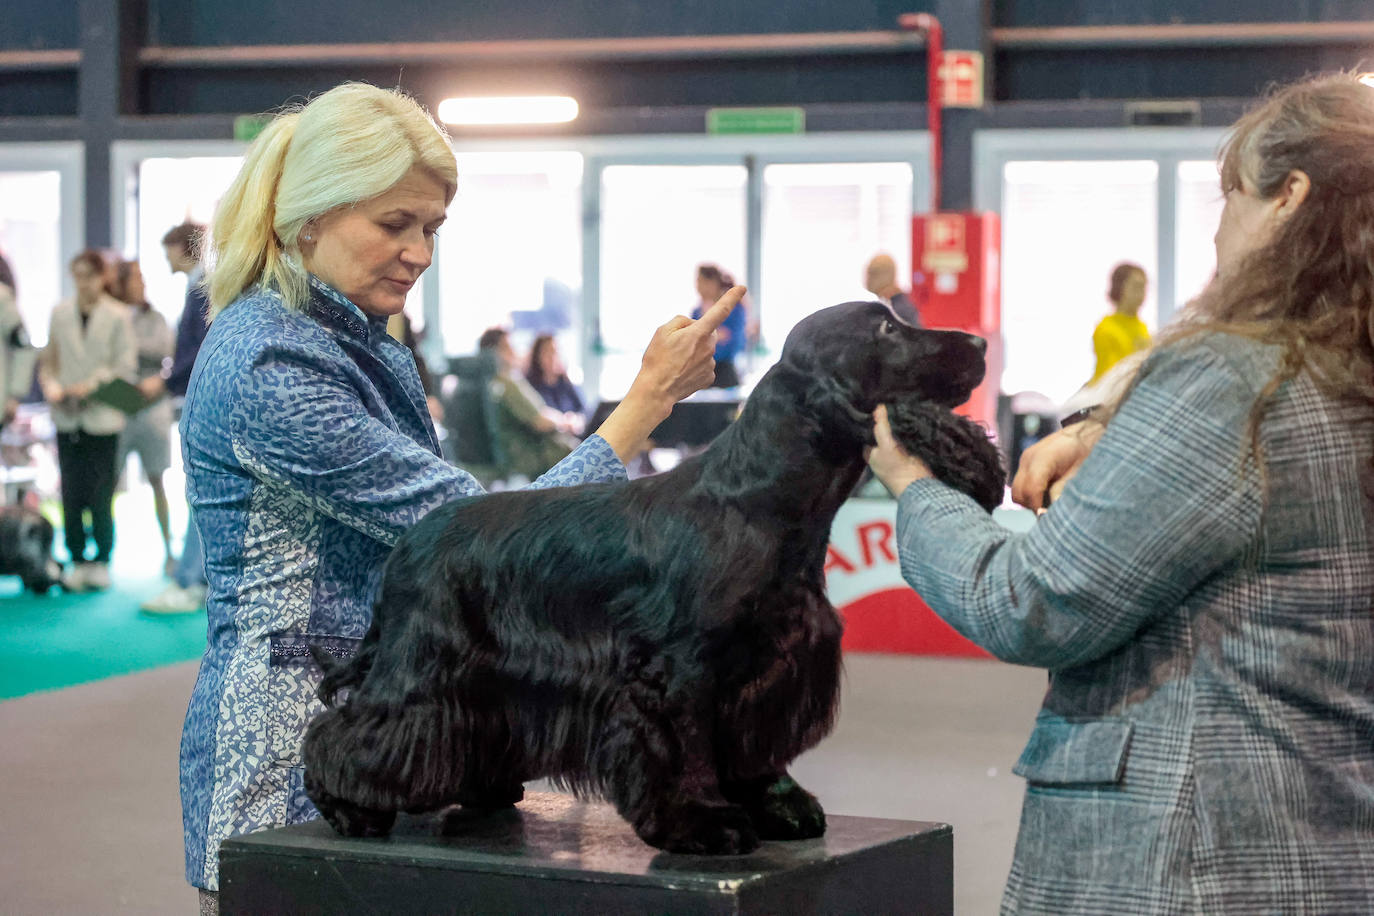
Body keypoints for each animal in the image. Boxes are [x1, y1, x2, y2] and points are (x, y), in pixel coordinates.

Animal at [303, 304, 1000, 856]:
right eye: (887, 328)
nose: (982, 343)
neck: (762, 504)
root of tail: (410, 539)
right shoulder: (677, 670)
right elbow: (687, 747)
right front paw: (702, 822)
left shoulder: (772, 663)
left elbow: (757, 747)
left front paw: (778, 803)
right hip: (422, 664)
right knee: (345, 731)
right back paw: (347, 807)